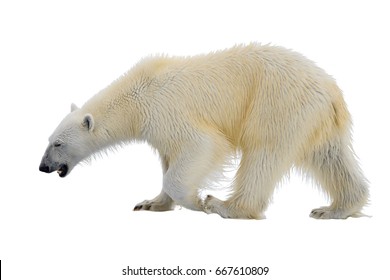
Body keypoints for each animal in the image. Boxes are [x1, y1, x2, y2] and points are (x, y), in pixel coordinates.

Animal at [39, 43, 368, 219]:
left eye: (57, 144)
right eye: (49, 140)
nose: (43, 167)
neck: (136, 97)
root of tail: (331, 88)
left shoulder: (167, 110)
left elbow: (202, 146)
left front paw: (197, 202)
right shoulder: (158, 128)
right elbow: (168, 159)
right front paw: (151, 203)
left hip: (277, 103)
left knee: (263, 153)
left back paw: (227, 206)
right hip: (315, 117)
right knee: (329, 157)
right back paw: (335, 208)